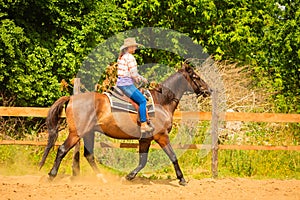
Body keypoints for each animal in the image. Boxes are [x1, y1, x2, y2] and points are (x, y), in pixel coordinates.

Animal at [39, 63, 212, 186]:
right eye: (196, 76)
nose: (209, 90)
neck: (160, 102)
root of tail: (72, 98)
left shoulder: (145, 139)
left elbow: (142, 161)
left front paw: (128, 176)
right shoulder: (161, 136)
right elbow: (173, 156)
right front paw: (182, 179)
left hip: (89, 133)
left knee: (89, 155)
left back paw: (102, 179)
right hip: (76, 134)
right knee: (62, 150)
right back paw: (51, 176)